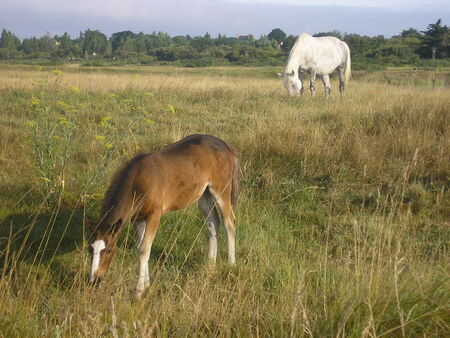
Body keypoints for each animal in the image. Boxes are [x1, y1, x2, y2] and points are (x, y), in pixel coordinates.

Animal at [87, 133, 239, 298]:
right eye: (90, 249)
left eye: (108, 250)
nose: (94, 280)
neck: (138, 181)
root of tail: (228, 148)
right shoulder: (138, 218)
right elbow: (140, 246)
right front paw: (146, 285)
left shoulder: (154, 215)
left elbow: (144, 249)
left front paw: (138, 292)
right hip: (204, 194)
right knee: (213, 222)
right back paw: (210, 265)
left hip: (221, 190)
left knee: (229, 222)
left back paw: (231, 264)